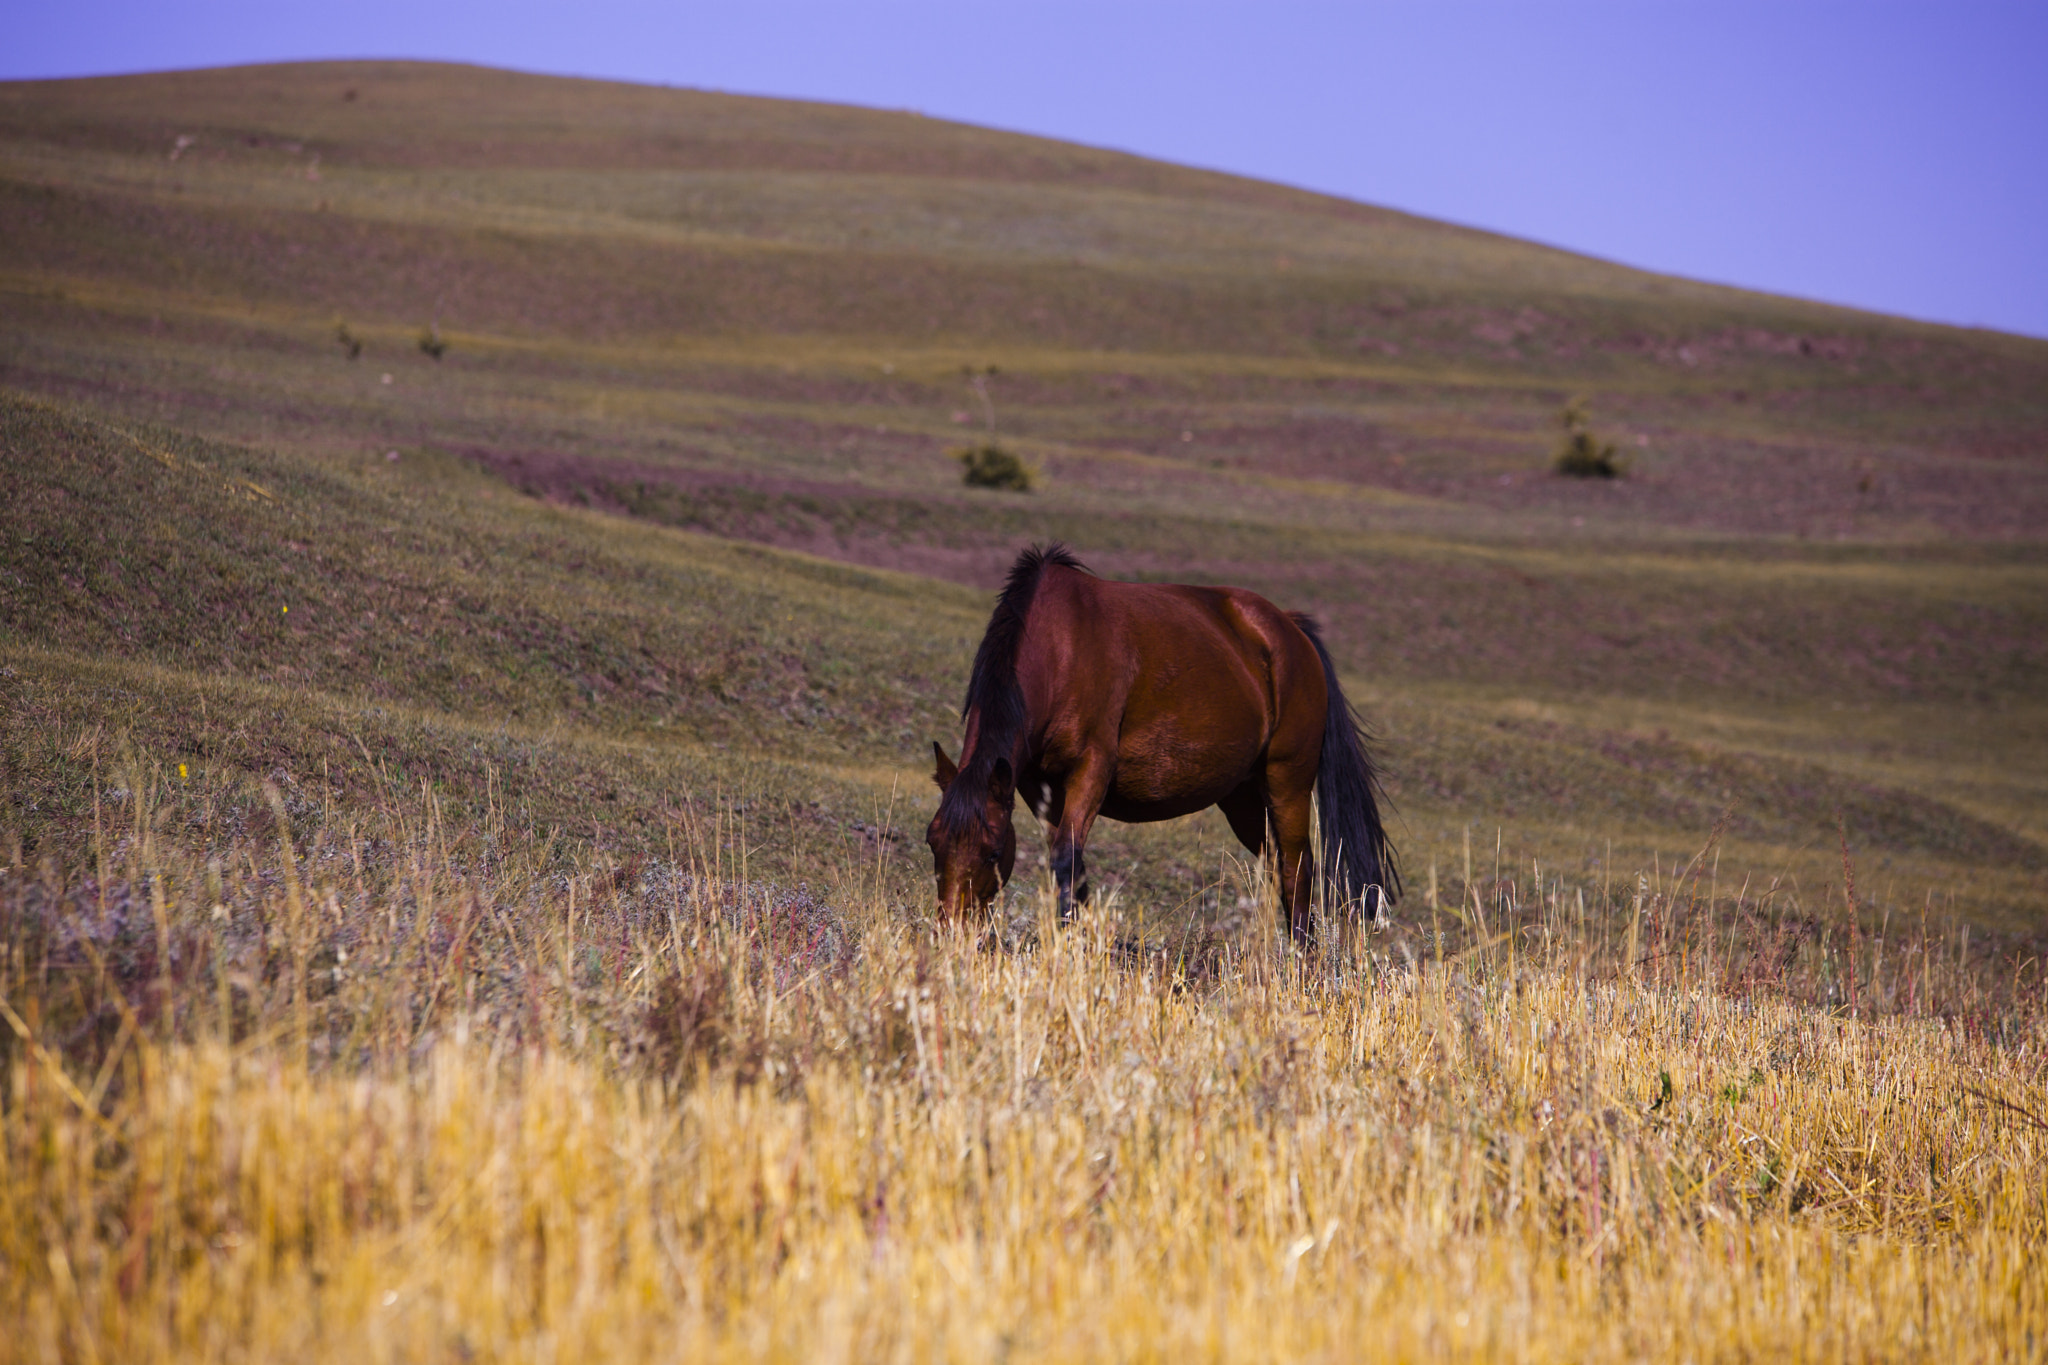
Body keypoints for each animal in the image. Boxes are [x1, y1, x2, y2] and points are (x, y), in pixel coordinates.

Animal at [926, 544, 1398, 939]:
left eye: (992, 853)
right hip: (1243, 797)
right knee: (1276, 868)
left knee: (1298, 871)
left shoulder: (1091, 769)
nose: (951, 929)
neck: (1060, 647)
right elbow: (1072, 866)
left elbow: (1065, 858)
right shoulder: (1037, 787)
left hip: (1288, 783)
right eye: (933, 843)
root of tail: (1290, 631)